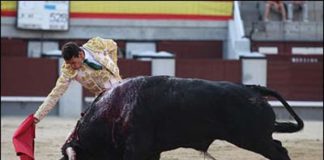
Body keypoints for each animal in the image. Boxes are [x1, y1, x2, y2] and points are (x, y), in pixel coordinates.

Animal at [60, 75, 304, 160]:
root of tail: (253, 89)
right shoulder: (150, 151)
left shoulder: (136, 149)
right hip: (258, 138)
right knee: (279, 147)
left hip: (253, 138)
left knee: (279, 153)